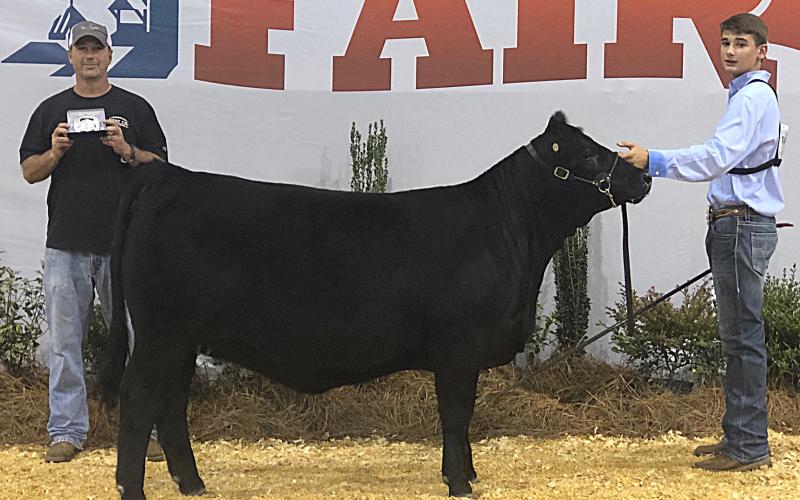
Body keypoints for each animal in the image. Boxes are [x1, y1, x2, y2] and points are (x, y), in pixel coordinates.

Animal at [99, 111, 651, 499]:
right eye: (588, 155)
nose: (643, 178)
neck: (506, 229)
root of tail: (168, 178)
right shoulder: (459, 346)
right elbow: (457, 412)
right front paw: (459, 483)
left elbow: (462, 416)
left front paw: (468, 474)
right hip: (162, 333)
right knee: (140, 398)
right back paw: (132, 488)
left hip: (181, 338)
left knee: (171, 403)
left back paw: (192, 484)